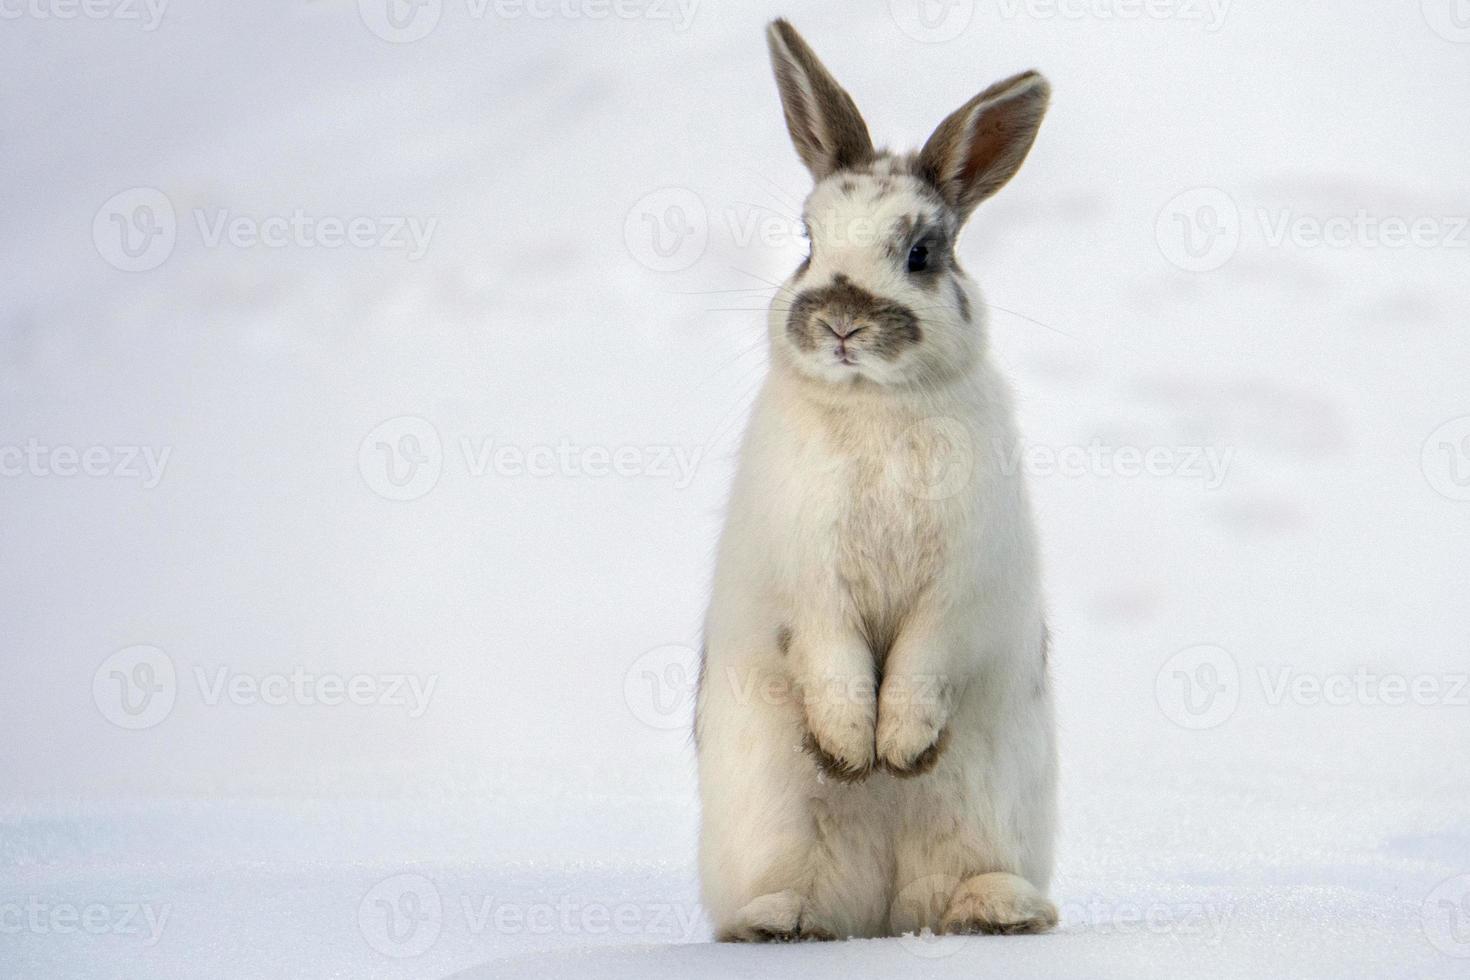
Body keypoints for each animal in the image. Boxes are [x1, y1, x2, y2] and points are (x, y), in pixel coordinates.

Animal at [693, 19, 1064, 940]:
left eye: (923, 253)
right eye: (807, 241)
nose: (841, 323)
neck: (876, 406)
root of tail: (890, 912)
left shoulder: (960, 588)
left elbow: (922, 663)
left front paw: (897, 752)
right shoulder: (808, 585)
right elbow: (836, 665)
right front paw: (854, 753)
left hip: (992, 812)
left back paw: (998, 911)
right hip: (772, 823)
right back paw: (777, 922)